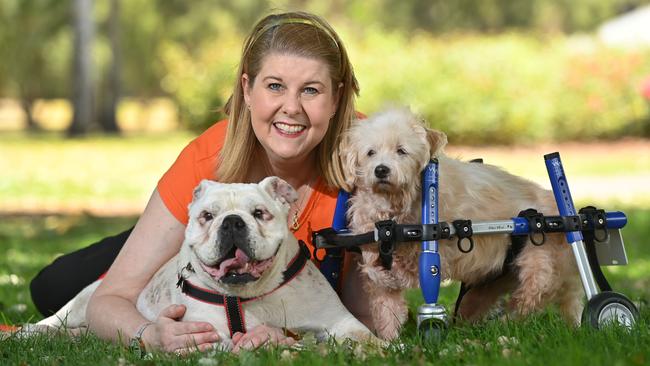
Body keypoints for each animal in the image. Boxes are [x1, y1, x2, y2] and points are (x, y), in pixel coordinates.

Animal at [21, 177, 374, 348]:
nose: (232, 222)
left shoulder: (341, 321)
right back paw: (27, 333)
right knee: (54, 320)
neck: (249, 296)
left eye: (260, 213)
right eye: (207, 216)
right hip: (81, 302)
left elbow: (365, 337)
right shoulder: (208, 333)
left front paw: (380, 349)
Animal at [342, 108, 580, 340]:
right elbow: (386, 311)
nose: (381, 170)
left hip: (539, 270)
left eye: (401, 151)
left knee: (529, 300)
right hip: (488, 285)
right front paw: (392, 344)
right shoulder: (381, 279)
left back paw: (505, 325)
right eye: (371, 152)